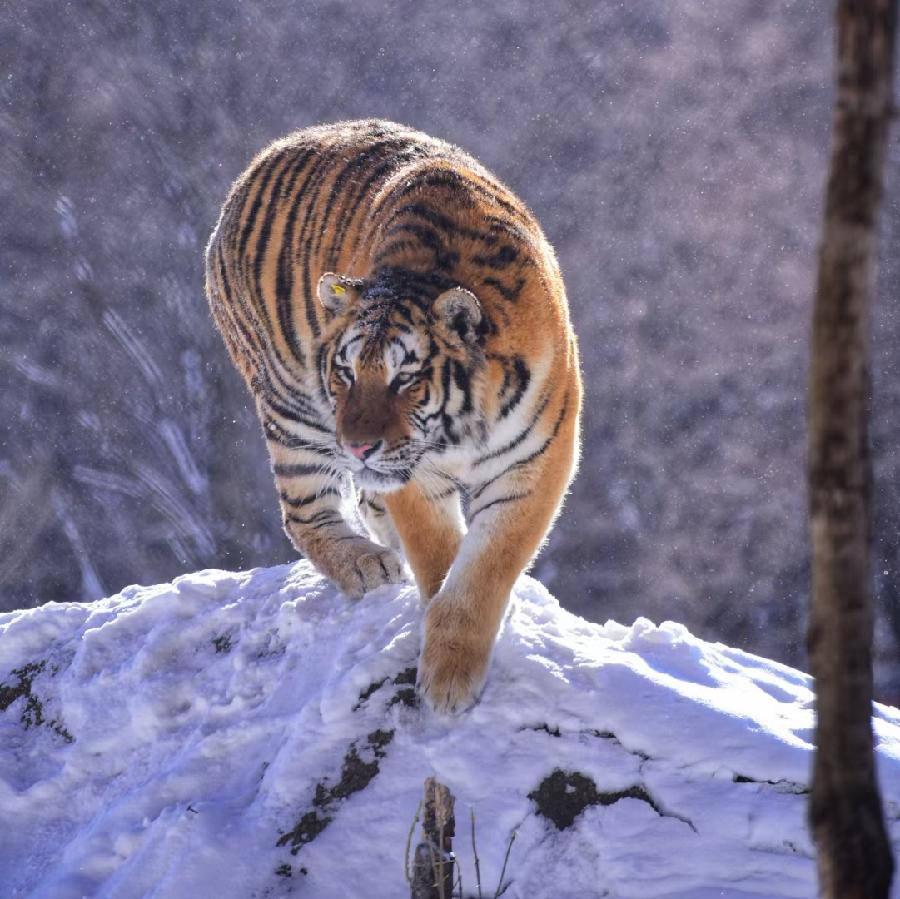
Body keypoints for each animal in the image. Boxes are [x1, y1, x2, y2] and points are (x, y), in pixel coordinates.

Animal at [205, 119, 581, 713]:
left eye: (404, 378)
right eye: (345, 371)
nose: (358, 447)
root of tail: (256, 164)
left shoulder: (536, 461)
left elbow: (485, 567)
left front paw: (450, 677)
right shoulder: (413, 475)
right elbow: (441, 557)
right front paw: (445, 671)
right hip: (291, 405)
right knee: (305, 511)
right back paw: (366, 562)